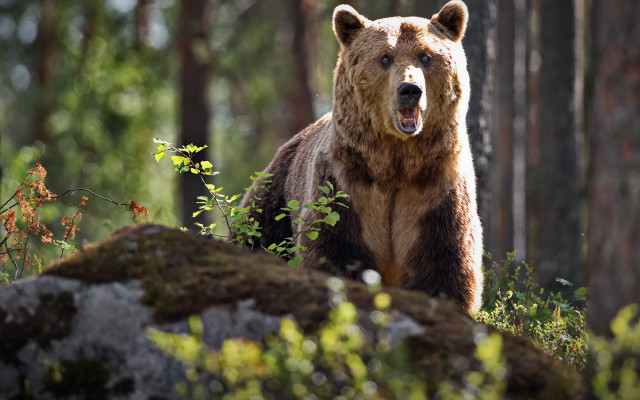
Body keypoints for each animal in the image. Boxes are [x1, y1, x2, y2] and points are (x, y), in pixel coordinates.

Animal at [233, 1, 483, 315]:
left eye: (426, 56)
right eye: (385, 58)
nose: (410, 90)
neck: (396, 162)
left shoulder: (435, 194)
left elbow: (444, 267)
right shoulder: (347, 187)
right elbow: (333, 252)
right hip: (275, 197)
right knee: (258, 234)